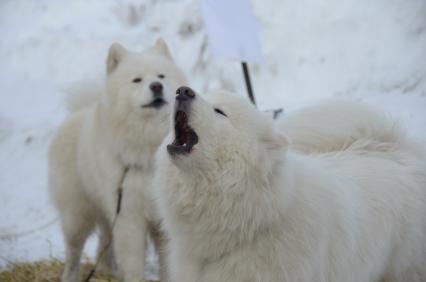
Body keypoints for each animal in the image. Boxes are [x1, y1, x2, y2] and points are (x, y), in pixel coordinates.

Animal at [49, 39, 186, 282]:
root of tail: (76, 113)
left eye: (161, 76)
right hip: (78, 214)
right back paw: (71, 275)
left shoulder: (162, 219)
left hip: (106, 209)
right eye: (137, 80)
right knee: (73, 250)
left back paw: (108, 269)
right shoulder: (130, 216)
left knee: (104, 240)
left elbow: (168, 265)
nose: (156, 87)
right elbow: (133, 263)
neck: (150, 142)